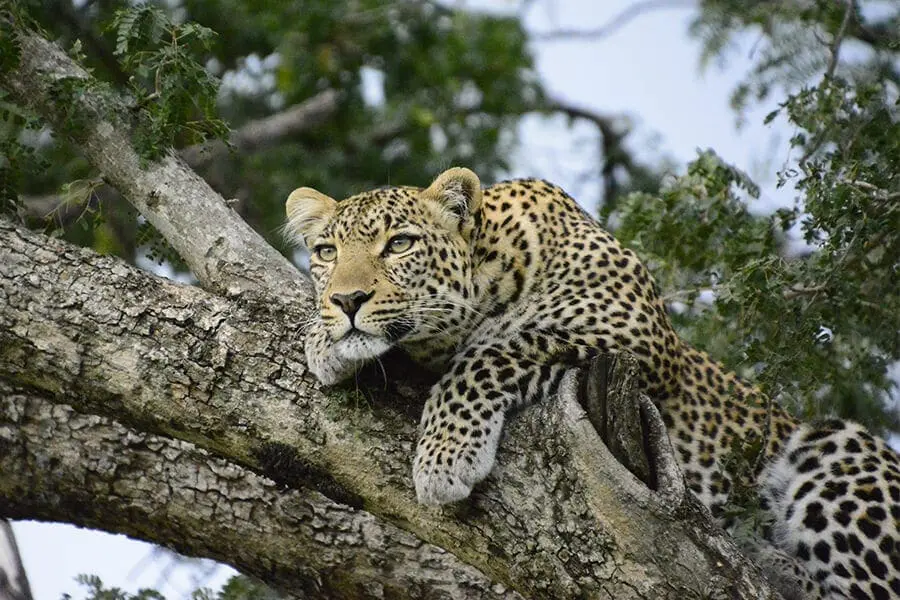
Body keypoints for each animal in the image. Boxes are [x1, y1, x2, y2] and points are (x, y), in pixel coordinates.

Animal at [286, 166, 900, 596]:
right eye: (326, 252)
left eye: (400, 244)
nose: (346, 300)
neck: (494, 263)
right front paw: (323, 339)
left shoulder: (631, 334)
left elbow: (496, 349)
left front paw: (445, 456)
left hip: (838, 450)